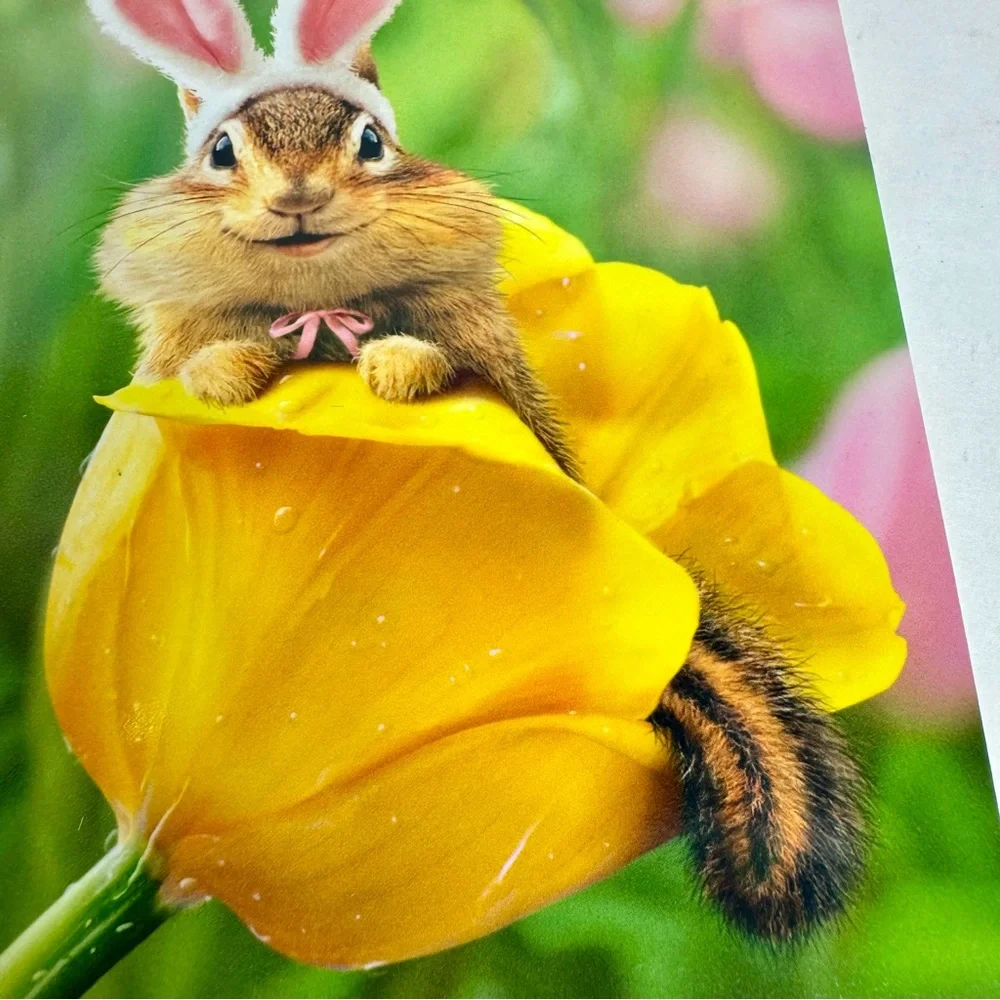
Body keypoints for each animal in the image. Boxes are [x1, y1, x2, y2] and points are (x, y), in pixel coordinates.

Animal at [88, 0, 581, 481]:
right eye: (221, 151)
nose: (297, 197)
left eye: (372, 142)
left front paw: (393, 368)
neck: (316, 306)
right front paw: (228, 375)